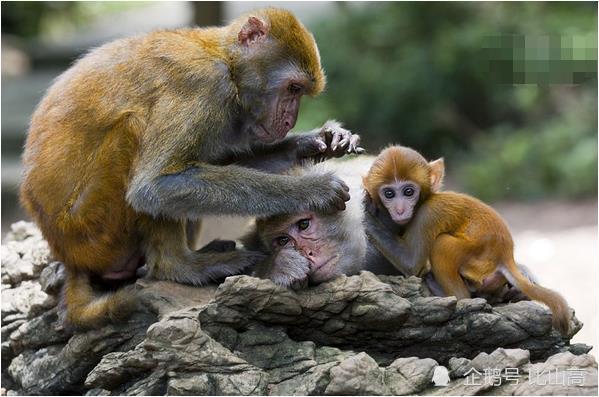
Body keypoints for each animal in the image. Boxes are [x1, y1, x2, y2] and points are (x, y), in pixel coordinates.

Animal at [21, 7, 364, 326]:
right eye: (293, 88)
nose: (290, 120)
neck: (228, 63)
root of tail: (67, 255)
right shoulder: (204, 86)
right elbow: (155, 186)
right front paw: (311, 190)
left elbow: (206, 165)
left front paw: (316, 141)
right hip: (93, 231)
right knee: (135, 131)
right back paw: (181, 265)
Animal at [360, 145, 572, 334]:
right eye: (389, 193)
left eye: (408, 192)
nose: (400, 210)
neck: (425, 200)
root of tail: (505, 254)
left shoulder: (428, 215)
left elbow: (411, 264)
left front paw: (367, 214)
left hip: (477, 258)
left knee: (441, 245)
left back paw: (453, 295)